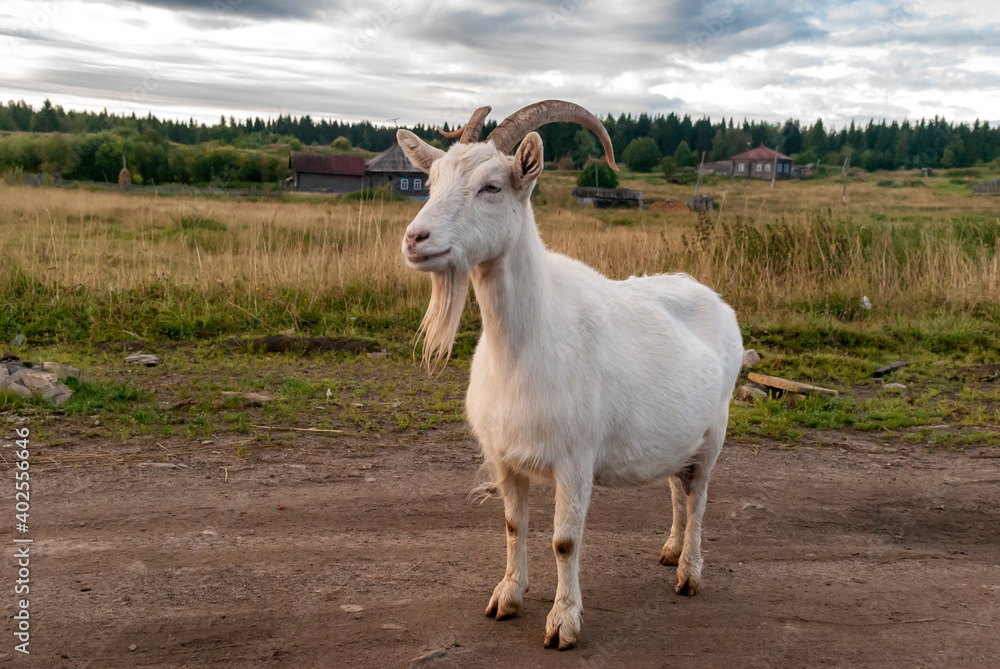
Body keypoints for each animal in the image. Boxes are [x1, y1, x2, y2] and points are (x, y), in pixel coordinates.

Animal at [397, 100, 743, 650]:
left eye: (492, 187)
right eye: (429, 182)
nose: (415, 239)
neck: (523, 347)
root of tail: (715, 299)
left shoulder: (575, 461)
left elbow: (565, 541)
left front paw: (563, 622)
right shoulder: (504, 458)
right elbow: (513, 526)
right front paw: (507, 596)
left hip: (714, 434)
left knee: (700, 497)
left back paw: (688, 572)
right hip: (679, 435)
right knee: (677, 488)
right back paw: (670, 550)